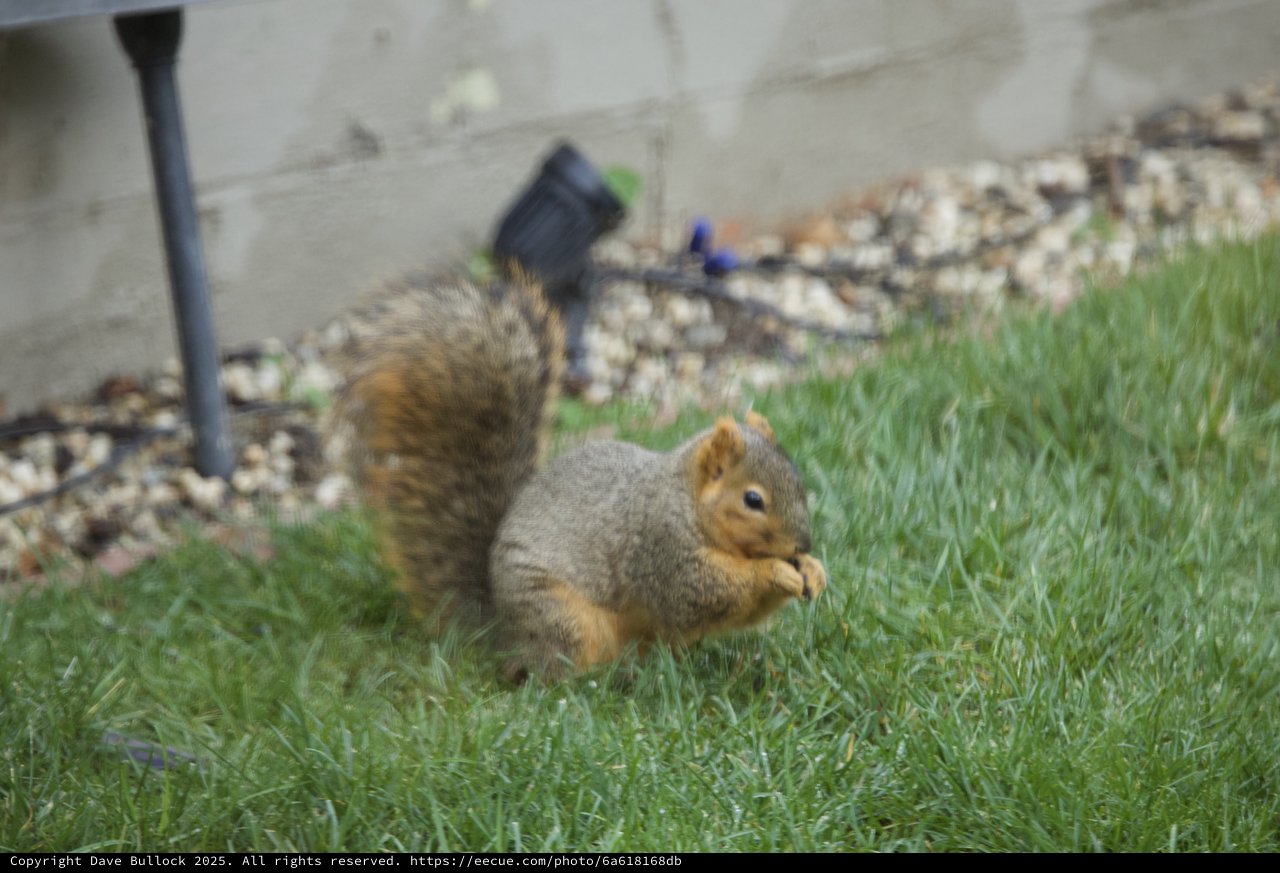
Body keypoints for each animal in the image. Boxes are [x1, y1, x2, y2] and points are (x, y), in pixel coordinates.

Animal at [338, 274, 827, 681]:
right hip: (561, 616)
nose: (801, 545)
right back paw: (596, 681)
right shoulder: (659, 548)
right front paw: (774, 572)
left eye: (798, 481)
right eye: (752, 499)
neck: (684, 500)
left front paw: (813, 571)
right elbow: (700, 595)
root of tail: (501, 635)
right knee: (552, 671)